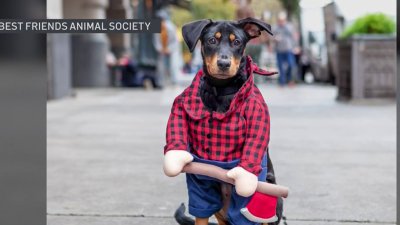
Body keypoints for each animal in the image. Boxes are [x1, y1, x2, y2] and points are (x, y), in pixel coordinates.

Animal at [164, 18, 282, 225]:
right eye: (212, 40)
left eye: (237, 42)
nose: (224, 63)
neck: (220, 90)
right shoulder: (200, 184)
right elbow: (201, 212)